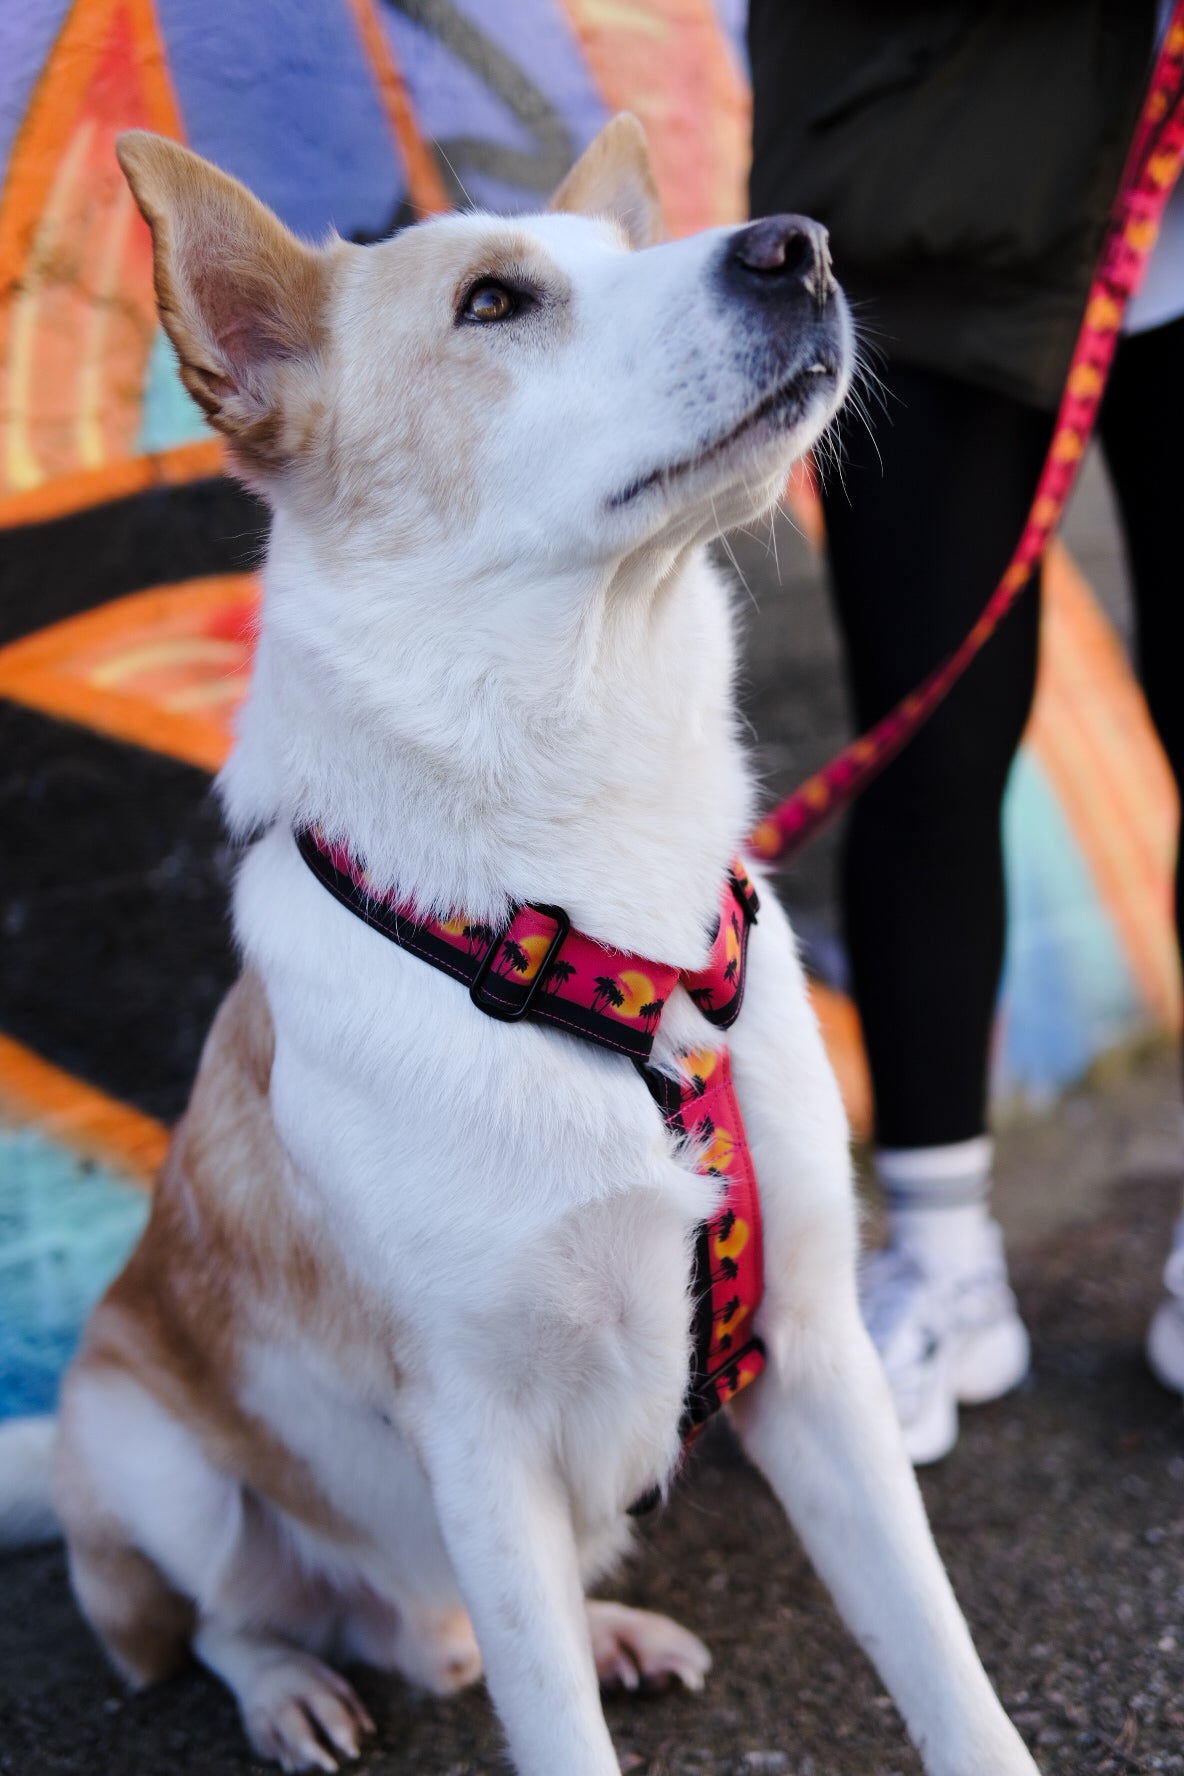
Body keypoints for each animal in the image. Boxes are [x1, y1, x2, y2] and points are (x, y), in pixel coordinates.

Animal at [0, 118, 1036, 1768]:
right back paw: (293, 1690)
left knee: (450, 1644)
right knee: (232, 1620)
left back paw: (595, 1633)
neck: (595, 919)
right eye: (494, 301)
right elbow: (549, 1726)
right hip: (158, 1465)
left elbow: (936, 1654)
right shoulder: (475, 1434)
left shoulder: (819, 1357)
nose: (799, 246)